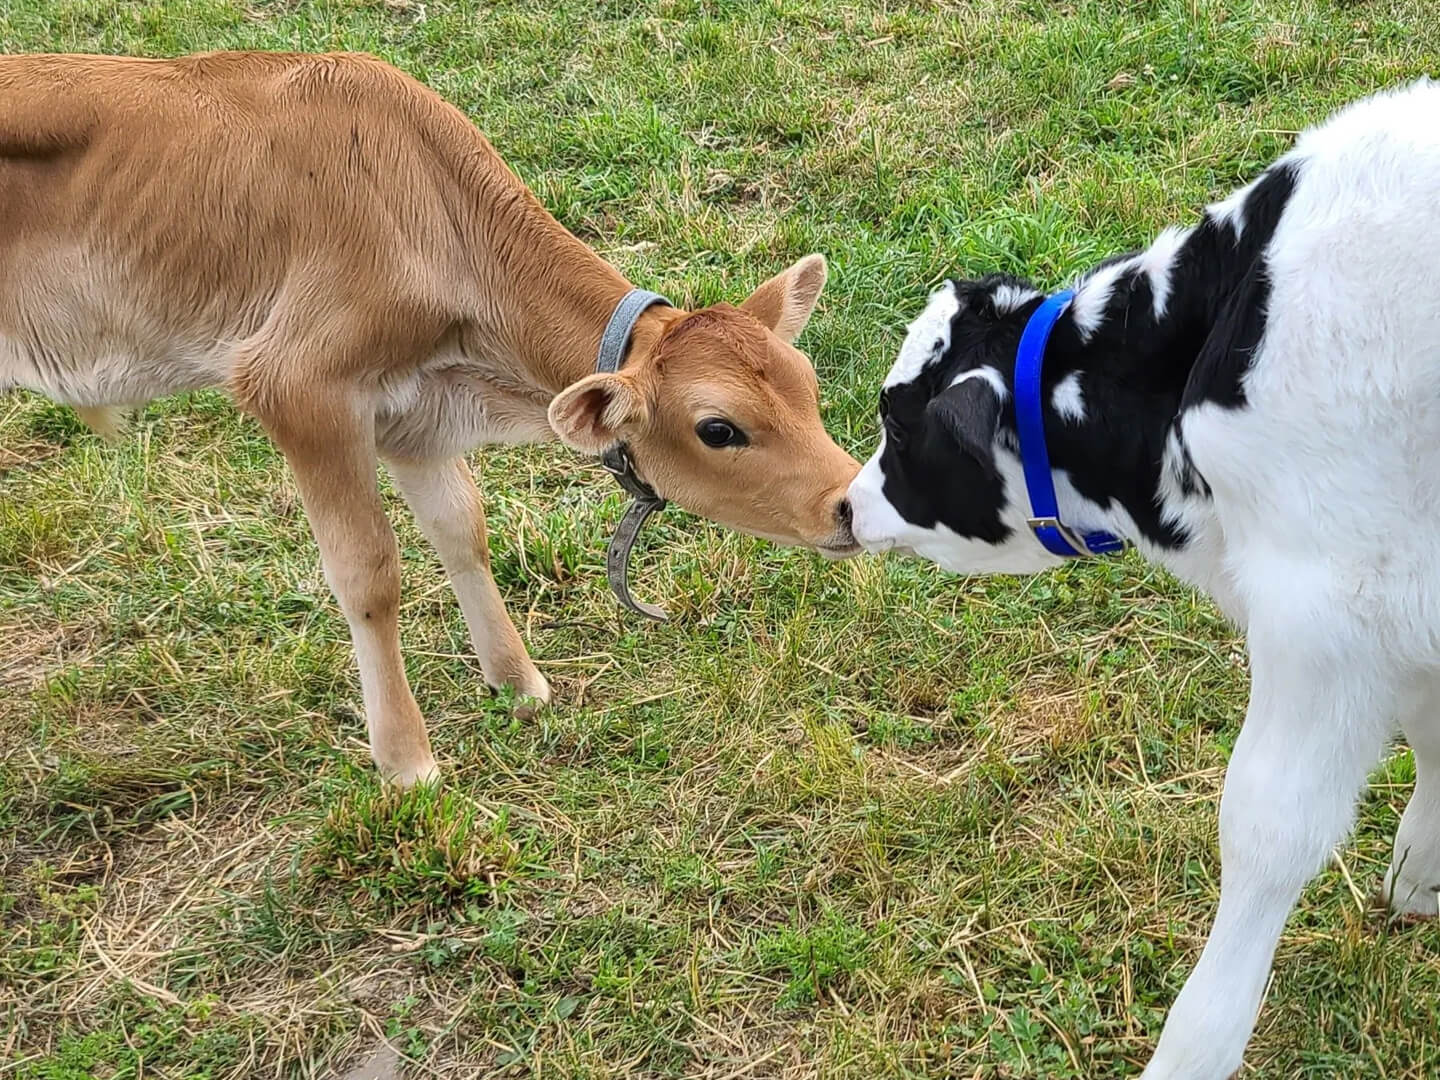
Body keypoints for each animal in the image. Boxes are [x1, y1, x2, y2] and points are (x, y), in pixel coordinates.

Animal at [0, 52, 858, 789]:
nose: (852, 503)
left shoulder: (415, 413)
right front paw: (407, 759)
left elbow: (461, 530)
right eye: (719, 429)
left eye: (808, 384)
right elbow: (369, 573)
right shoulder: (298, 385)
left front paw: (517, 682)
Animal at [846, 80, 1434, 1077]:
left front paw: (1195, 1045)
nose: (845, 506)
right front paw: (1421, 874)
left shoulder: (1328, 614)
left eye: (899, 424)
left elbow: (1267, 832)